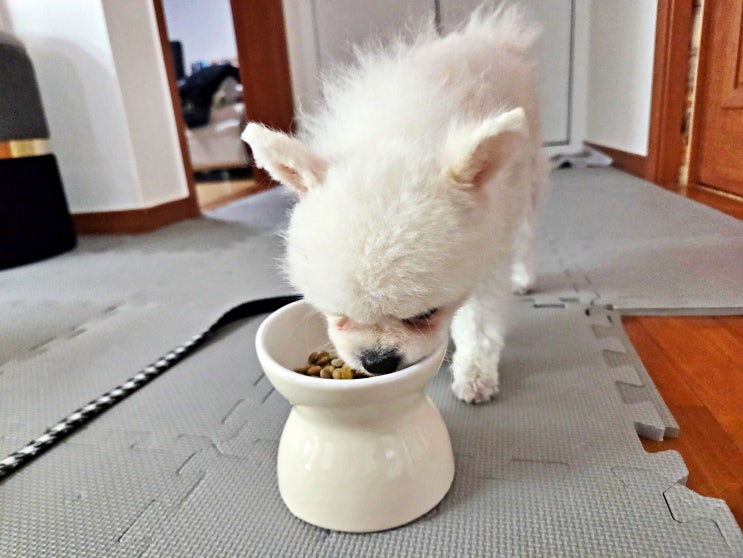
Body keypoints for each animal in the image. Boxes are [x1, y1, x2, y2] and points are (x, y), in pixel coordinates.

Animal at [242, 5, 548, 403]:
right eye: (336, 313)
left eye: (426, 314)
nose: (377, 361)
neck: (397, 138)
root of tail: (490, 37)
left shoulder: (489, 247)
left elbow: (479, 320)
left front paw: (475, 371)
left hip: (527, 176)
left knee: (527, 230)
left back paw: (524, 276)